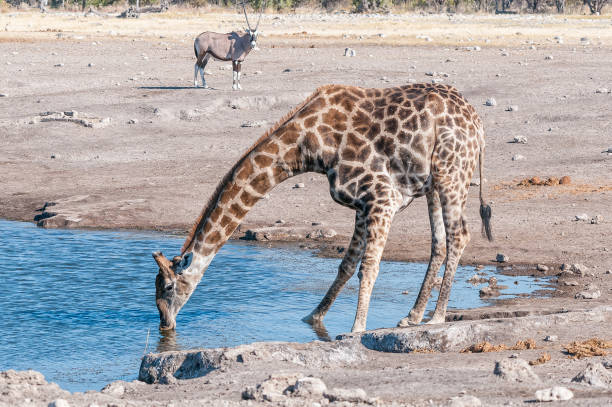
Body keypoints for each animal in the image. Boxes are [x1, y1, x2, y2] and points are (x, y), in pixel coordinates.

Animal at [153, 83, 492, 334]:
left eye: (168, 287)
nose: (165, 324)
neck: (307, 146)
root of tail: (477, 123)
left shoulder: (381, 198)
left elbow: (369, 267)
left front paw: (356, 329)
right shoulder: (361, 205)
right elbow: (346, 265)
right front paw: (313, 318)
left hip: (452, 173)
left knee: (459, 235)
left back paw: (437, 316)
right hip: (434, 183)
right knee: (439, 242)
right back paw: (413, 316)